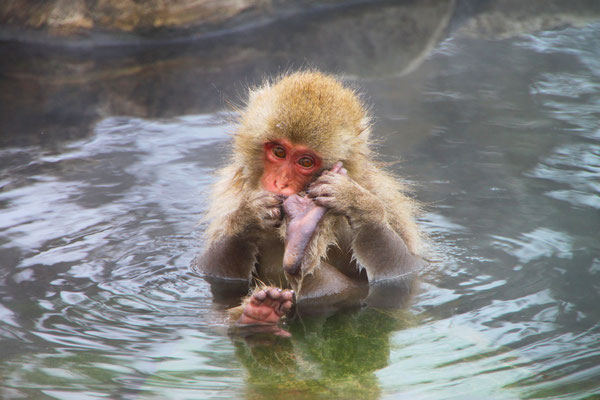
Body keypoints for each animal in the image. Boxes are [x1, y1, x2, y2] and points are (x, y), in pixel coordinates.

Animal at [193, 70, 426, 336]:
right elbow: (214, 273)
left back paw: (300, 236)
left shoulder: (383, 196)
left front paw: (356, 201)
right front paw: (249, 216)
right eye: (279, 152)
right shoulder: (230, 196)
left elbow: (403, 272)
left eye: (305, 162)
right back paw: (259, 313)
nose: (280, 183)